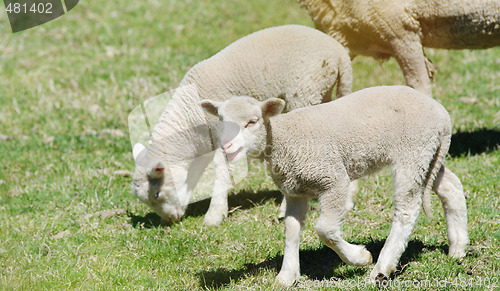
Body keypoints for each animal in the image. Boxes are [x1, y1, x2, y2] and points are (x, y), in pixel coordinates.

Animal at [131, 24, 354, 226]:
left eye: (156, 194)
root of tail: (339, 53)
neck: (190, 117)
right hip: (322, 92)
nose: (170, 221)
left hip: (306, 90)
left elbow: (222, 170)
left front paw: (214, 216)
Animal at [201, 85, 470, 288]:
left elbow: (325, 230)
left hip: (413, 152)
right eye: (221, 122)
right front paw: (287, 275)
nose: (226, 146)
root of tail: (442, 115)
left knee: (407, 209)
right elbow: (291, 230)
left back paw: (381, 268)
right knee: (451, 187)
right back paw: (458, 247)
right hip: (429, 154)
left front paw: (359, 257)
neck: (282, 140)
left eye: (252, 122)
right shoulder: (295, 190)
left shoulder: (332, 180)